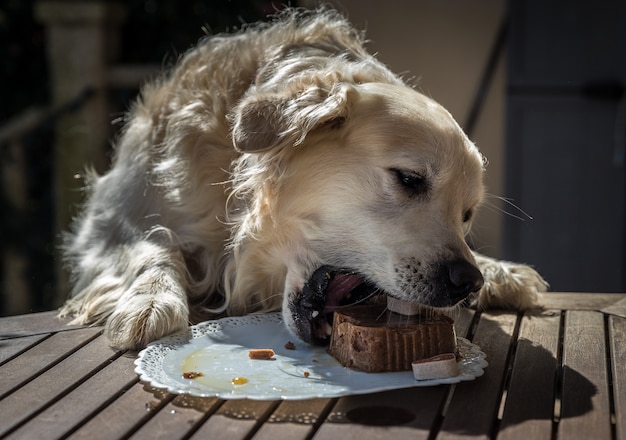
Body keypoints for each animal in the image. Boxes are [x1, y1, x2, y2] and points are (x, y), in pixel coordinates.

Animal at [58, 6, 544, 350]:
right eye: (409, 179)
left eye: (466, 215)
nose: (468, 281)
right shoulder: (107, 224)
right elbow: (154, 244)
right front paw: (152, 300)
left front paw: (498, 270)